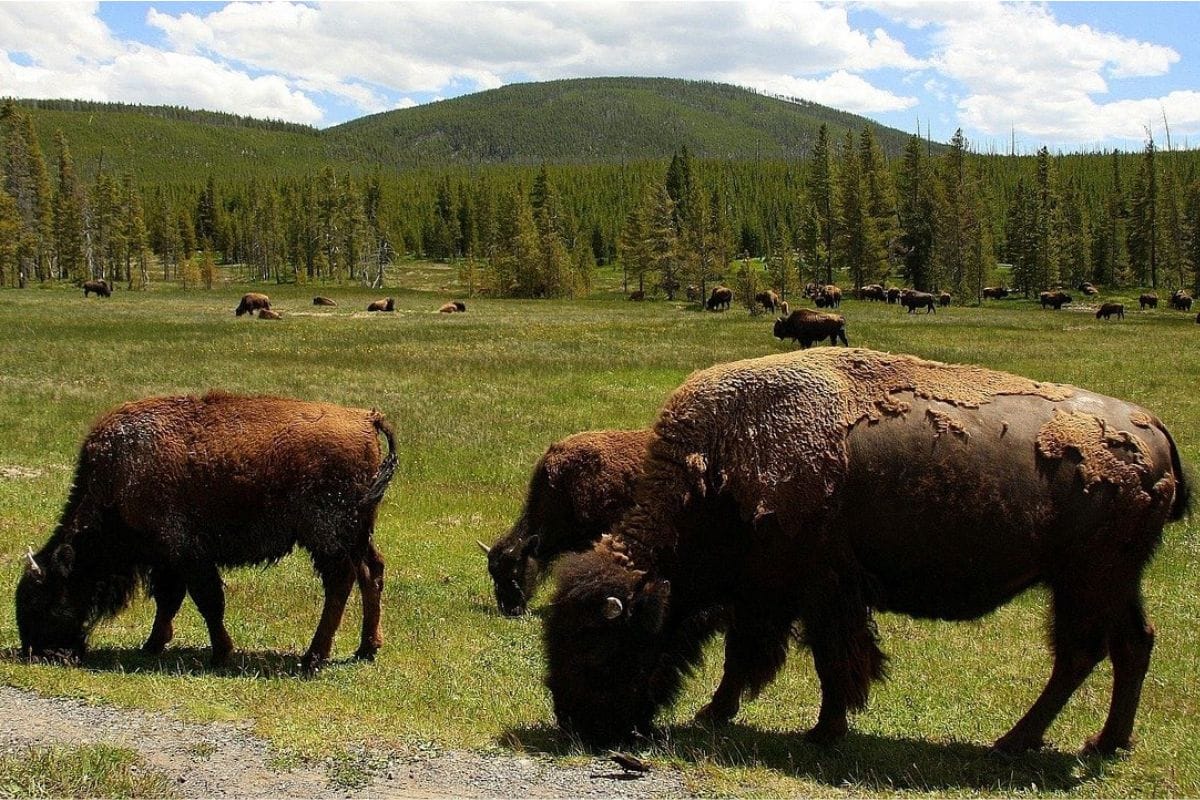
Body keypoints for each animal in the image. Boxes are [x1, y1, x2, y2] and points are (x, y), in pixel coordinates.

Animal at [16, 392, 397, 671]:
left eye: (40, 599)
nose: (38, 653)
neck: (118, 479)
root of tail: (365, 418)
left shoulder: (187, 556)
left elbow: (206, 602)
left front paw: (220, 653)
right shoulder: (169, 561)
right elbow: (170, 602)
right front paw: (152, 644)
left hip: (328, 537)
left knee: (341, 583)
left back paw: (313, 657)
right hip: (356, 534)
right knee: (371, 572)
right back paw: (365, 649)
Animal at [543, 348, 1187, 754]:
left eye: (597, 649)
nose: (577, 724)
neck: (719, 469)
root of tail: (1154, 427)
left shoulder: (815, 592)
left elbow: (824, 661)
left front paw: (820, 731)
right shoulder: (772, 597)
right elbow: (752, 658)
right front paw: (719, 713)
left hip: (1086, 582)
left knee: (1080, 654)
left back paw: (1013, 743)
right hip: (1113, 581)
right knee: (1131, 645)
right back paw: (1104, 743)